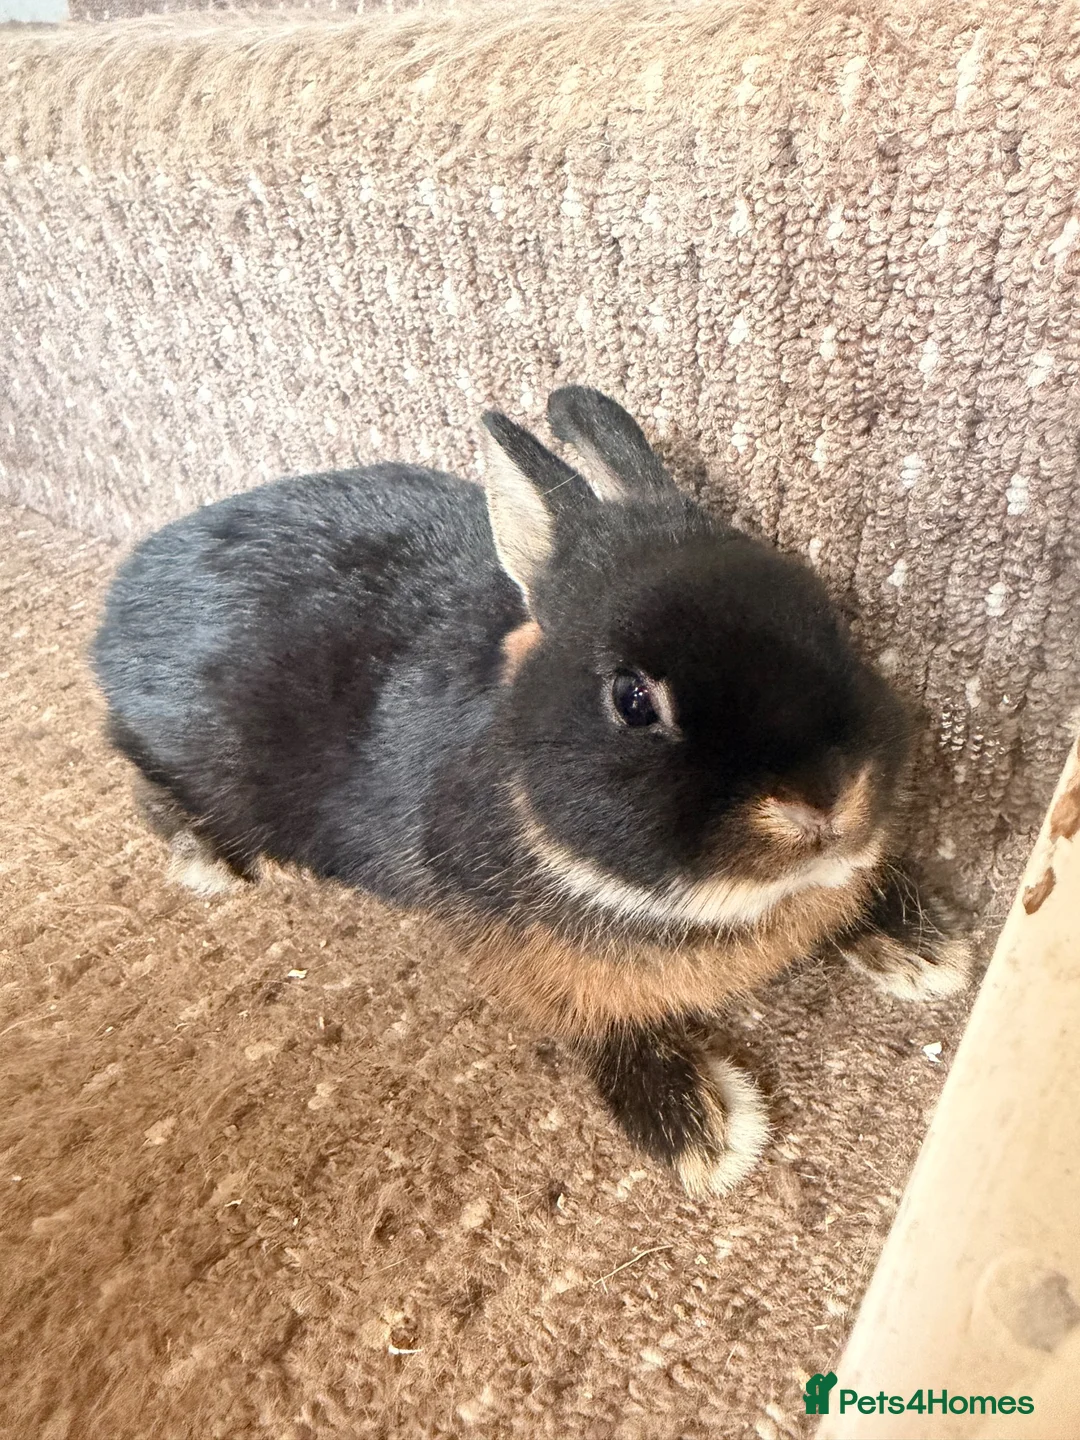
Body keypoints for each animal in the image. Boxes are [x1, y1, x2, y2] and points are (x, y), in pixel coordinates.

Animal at [91, 386, 971, 1197]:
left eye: (831, 622)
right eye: (632, 701)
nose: (823, 800)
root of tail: (117, 607)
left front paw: (930, 951)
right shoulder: (533, 965)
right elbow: (601, 1026)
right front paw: (703, 1132)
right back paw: (210, 860)